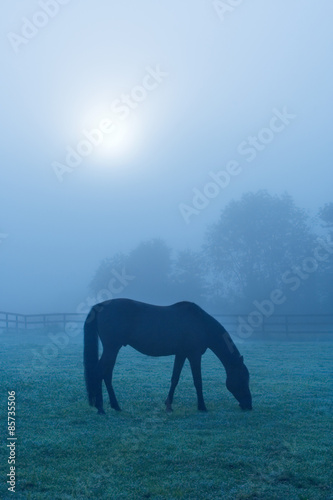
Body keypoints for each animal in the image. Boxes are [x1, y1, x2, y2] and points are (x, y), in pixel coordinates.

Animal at [83, 298, 252, 412]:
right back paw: (100, 408)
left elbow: (174, 379)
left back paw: (115, 405)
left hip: (112, 349)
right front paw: (202, 406)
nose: (249, 405)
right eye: (243, 378)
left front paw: (168, 405)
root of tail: (100, 306)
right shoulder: (194, 355)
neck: (201, 324)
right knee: (99, 372)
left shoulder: (181, 354)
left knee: (106, 374)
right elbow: (198, 381)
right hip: (111, 348)